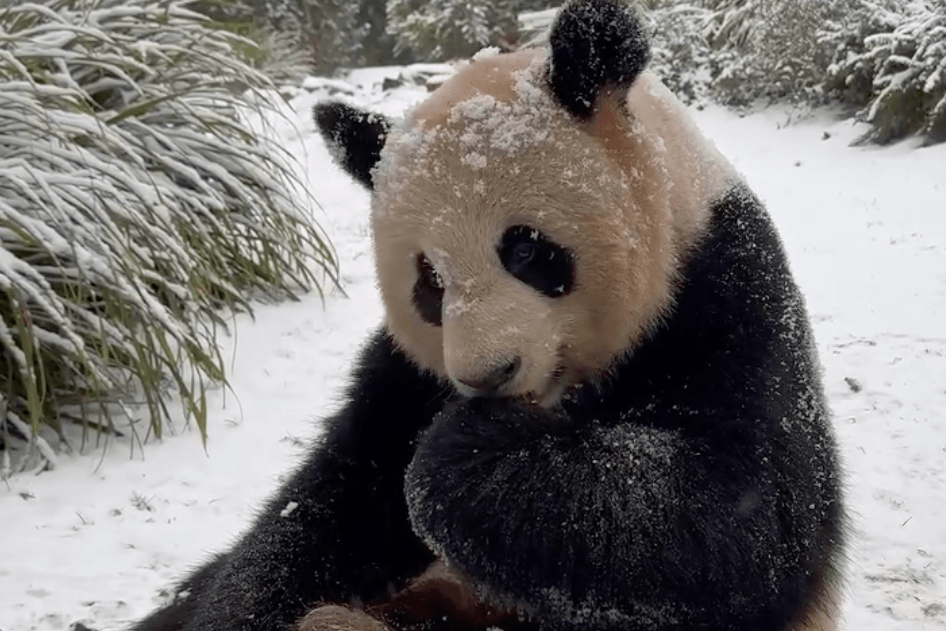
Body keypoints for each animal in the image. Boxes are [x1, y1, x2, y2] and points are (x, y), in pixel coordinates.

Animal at [129, 1, 844, 631]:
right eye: (430, 281)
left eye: (525, 249)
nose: (486, 375)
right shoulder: (403, 378)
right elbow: (324, 508)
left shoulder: (724, 296)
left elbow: (736, 521)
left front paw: (461, 455)